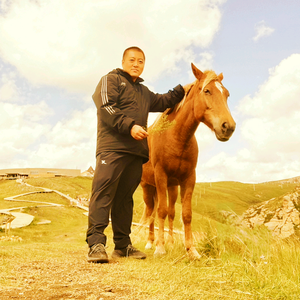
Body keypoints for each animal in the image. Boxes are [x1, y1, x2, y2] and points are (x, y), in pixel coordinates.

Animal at [141, 62, 237, 258]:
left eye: (226, 94)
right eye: (207, 91)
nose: (228, 127)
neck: (176, 138)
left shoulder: (188, 178)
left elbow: (185, 214)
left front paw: (191, 250)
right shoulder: (161, 176)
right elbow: (161, 211)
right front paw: (160, 248)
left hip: (171, 187)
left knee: (169, 212)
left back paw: (169, 242)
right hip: (148, 187)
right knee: (152, 213)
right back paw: (151, 243)